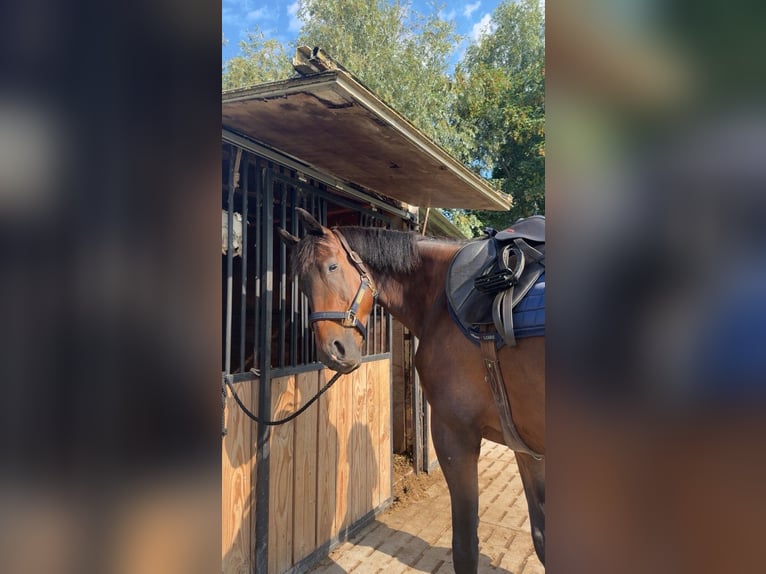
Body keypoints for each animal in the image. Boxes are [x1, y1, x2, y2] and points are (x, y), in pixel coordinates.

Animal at [279, 208, 545, 572]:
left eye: (331, 267)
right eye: (302, 284)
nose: (334, 352)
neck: (441, 299)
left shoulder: (454, 435)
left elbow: (465, 546)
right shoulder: (525, 445)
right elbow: (541, 537)